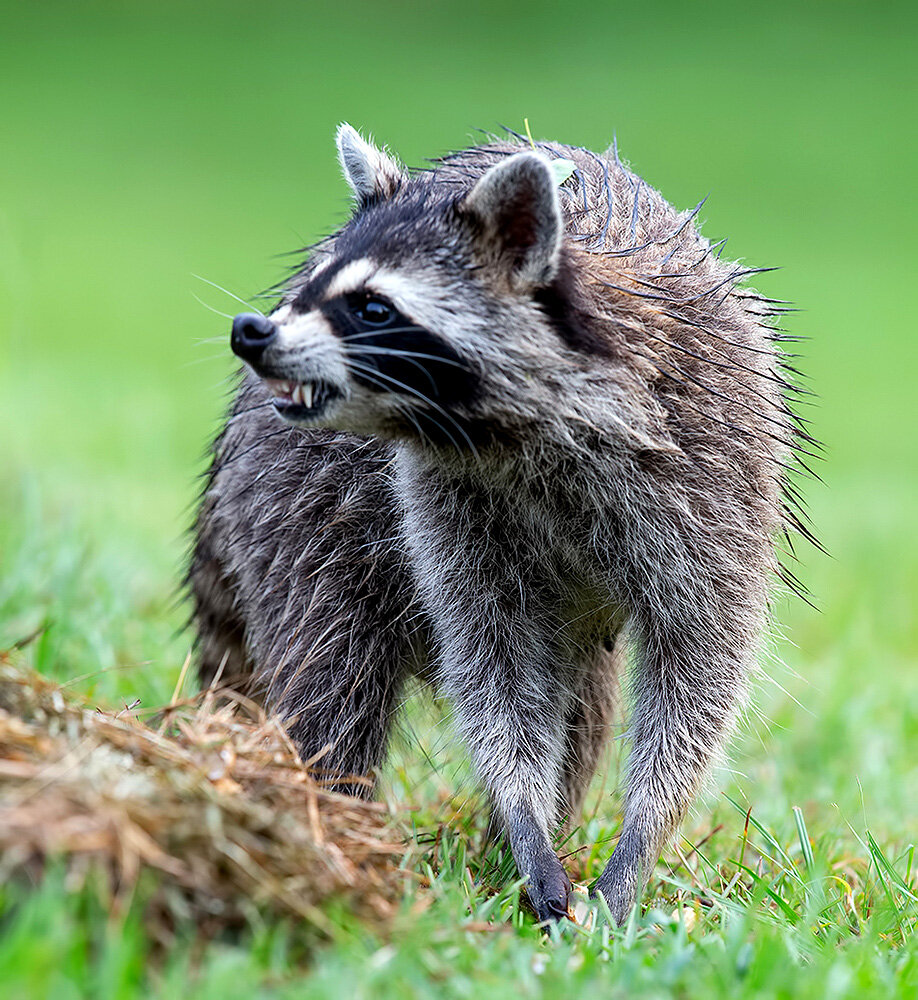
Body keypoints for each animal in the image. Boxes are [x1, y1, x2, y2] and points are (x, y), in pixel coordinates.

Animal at [190, 124, 811, 925]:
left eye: (372, 307)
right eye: (311, 288)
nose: (252, 331)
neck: (515, 432)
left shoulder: (713, 465)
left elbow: (700, 665)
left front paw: (642, 830)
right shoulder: (445, 497)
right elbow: (492, 658)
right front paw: (522, 812)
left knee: (583, 707)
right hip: (293, 503)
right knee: (332, 667)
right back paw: (336, 815)